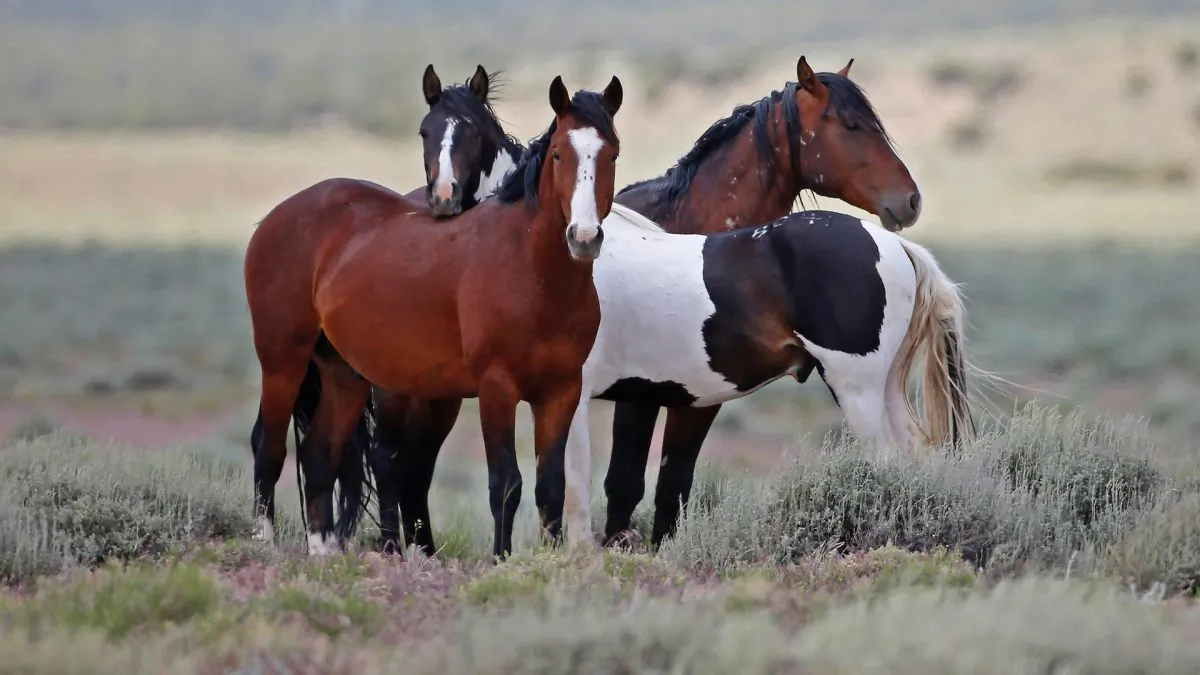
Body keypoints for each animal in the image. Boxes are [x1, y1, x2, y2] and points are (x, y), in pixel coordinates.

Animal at [243, 75, 624, 558]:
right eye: (559, 153)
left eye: (611, 153)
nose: (584, 236)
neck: (531, 269)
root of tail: (277, 217)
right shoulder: (496, 387)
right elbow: (505, 484)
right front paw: (501, 559)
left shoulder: (561, 391)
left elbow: (550, 486)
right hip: (283, 362)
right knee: (269, 447)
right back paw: (264, 544)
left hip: (344, 375)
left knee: (319, 454)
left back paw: (324, 553)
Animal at [368, 55, 930, 557]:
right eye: (852, 125)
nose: (910, 200)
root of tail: (898, 249)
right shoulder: (630, 397)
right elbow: (603, 489)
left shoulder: (635, 399)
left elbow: (615, 489)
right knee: (393, 461)